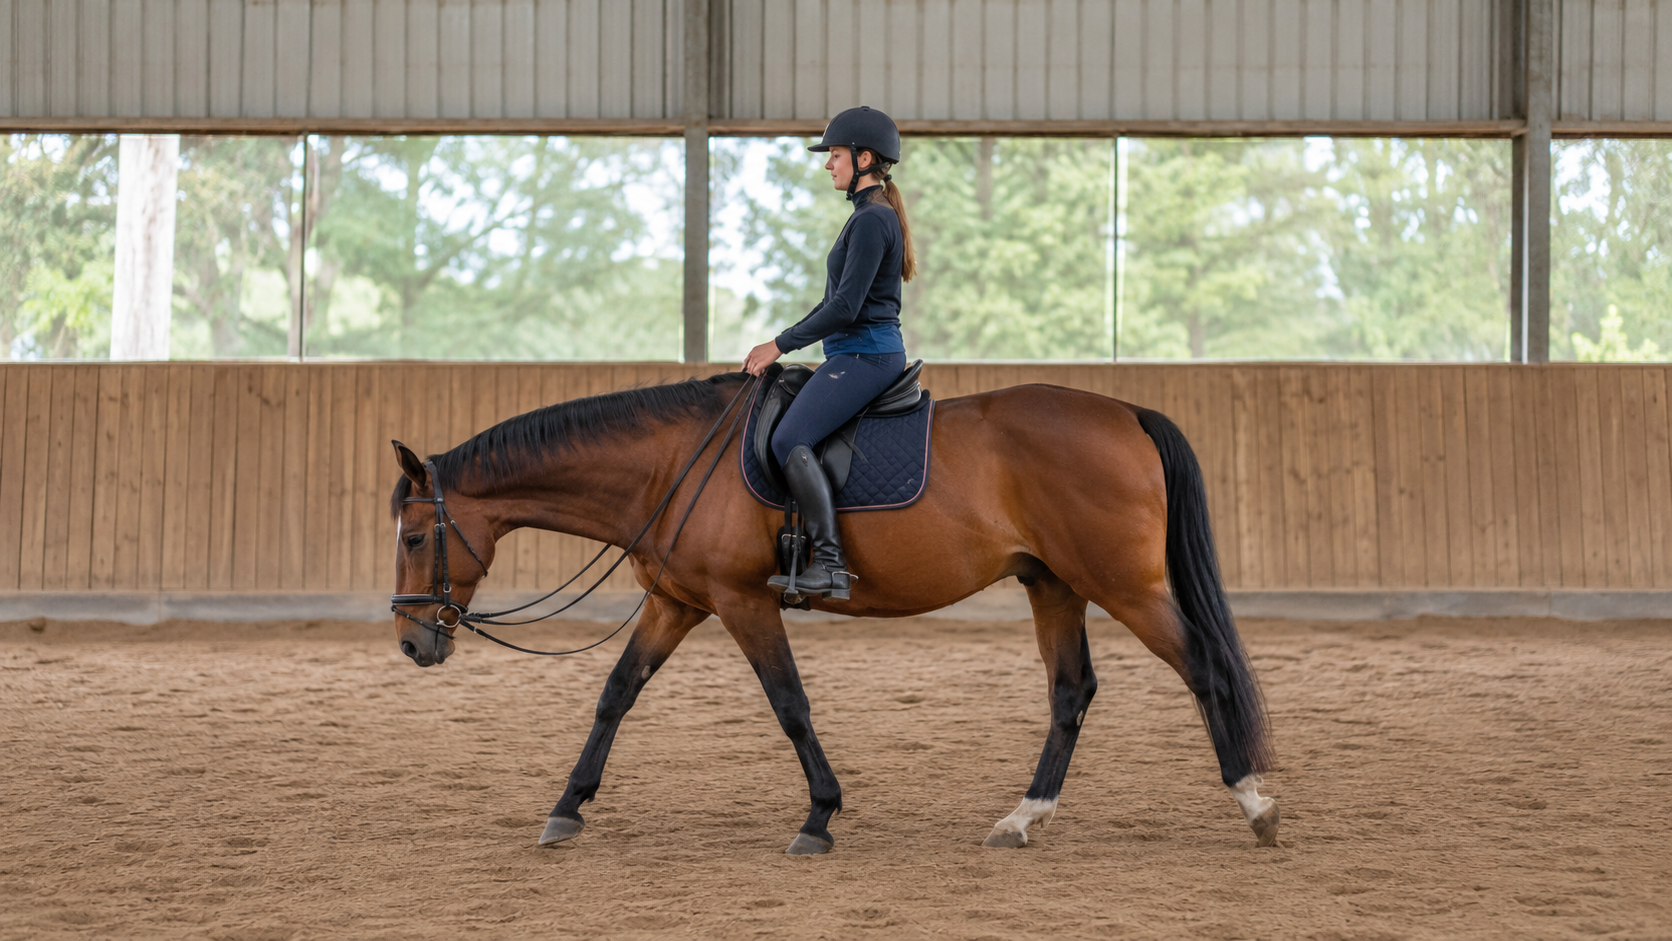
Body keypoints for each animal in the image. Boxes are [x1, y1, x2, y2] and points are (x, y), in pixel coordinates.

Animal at [387, 371, 1278, 854]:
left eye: (418, 533)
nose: (412, 643)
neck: (670, 465)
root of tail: (1126, 412)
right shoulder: (676, 601)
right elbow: (616, 694)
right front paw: (566, 806)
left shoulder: (742, 601)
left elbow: (789, 702)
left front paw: (819, 816)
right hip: (1054, 583)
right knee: (1072, 693)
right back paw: (1023, 818)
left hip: (1122, 584)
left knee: (1202, 666)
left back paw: (1256, 803)